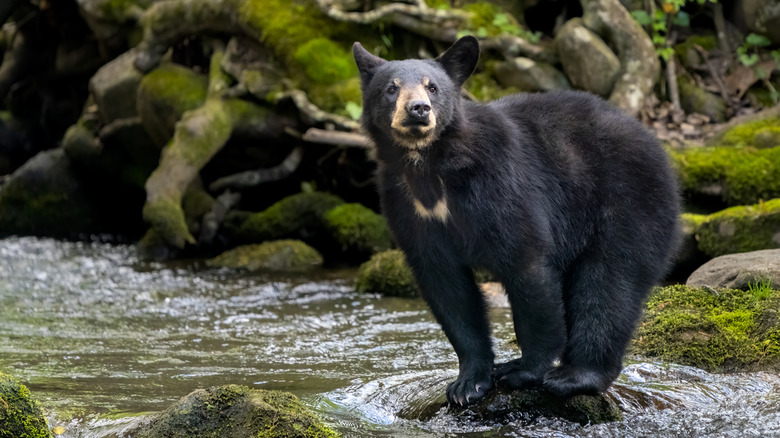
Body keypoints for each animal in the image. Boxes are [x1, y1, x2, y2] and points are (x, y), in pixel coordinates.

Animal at [352, 36, 681, 406]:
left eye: (432, 87)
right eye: (391, 88)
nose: (418, 109)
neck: (430, 165)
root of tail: (659, 147)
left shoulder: (499, 183)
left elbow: (526, 264)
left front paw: (524, 371)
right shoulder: (408, 207)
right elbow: (447, 287)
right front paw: (468, 383)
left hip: (627, 202)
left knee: (610, 282)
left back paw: (575, 376)